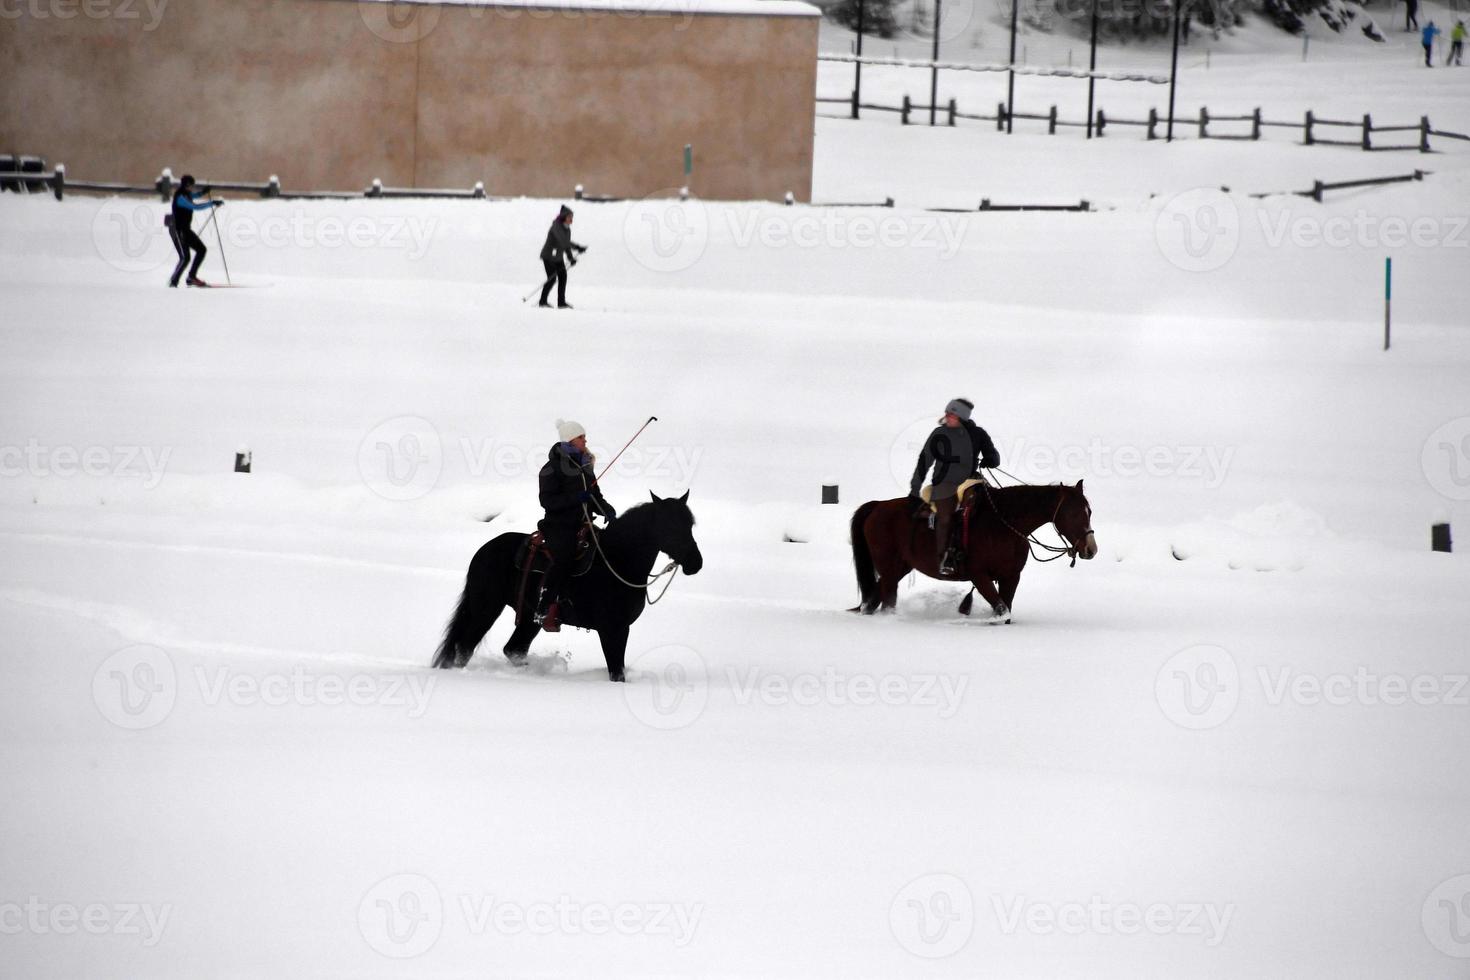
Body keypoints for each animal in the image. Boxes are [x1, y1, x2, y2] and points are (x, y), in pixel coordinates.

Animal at [429, 490, 699, 681]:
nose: (696, 562)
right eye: (670, 525)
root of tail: (484, 551)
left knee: (513, 649)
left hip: (528, 619)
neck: (617, 560)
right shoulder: (612, 629)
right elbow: (616, 672)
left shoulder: (620, 629)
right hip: (486, 609)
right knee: (465, 648)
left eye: (690, 524)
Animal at [846, 481, 1099, 620]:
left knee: (873, 600)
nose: (1091, 549)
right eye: (1073, 513)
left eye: (1089, 511)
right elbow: (1000, 609)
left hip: (899, 568)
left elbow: (1005, 610)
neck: (1004, 523)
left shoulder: (1010, 577)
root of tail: (877, 506)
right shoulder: (980, 576)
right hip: (889, 569)